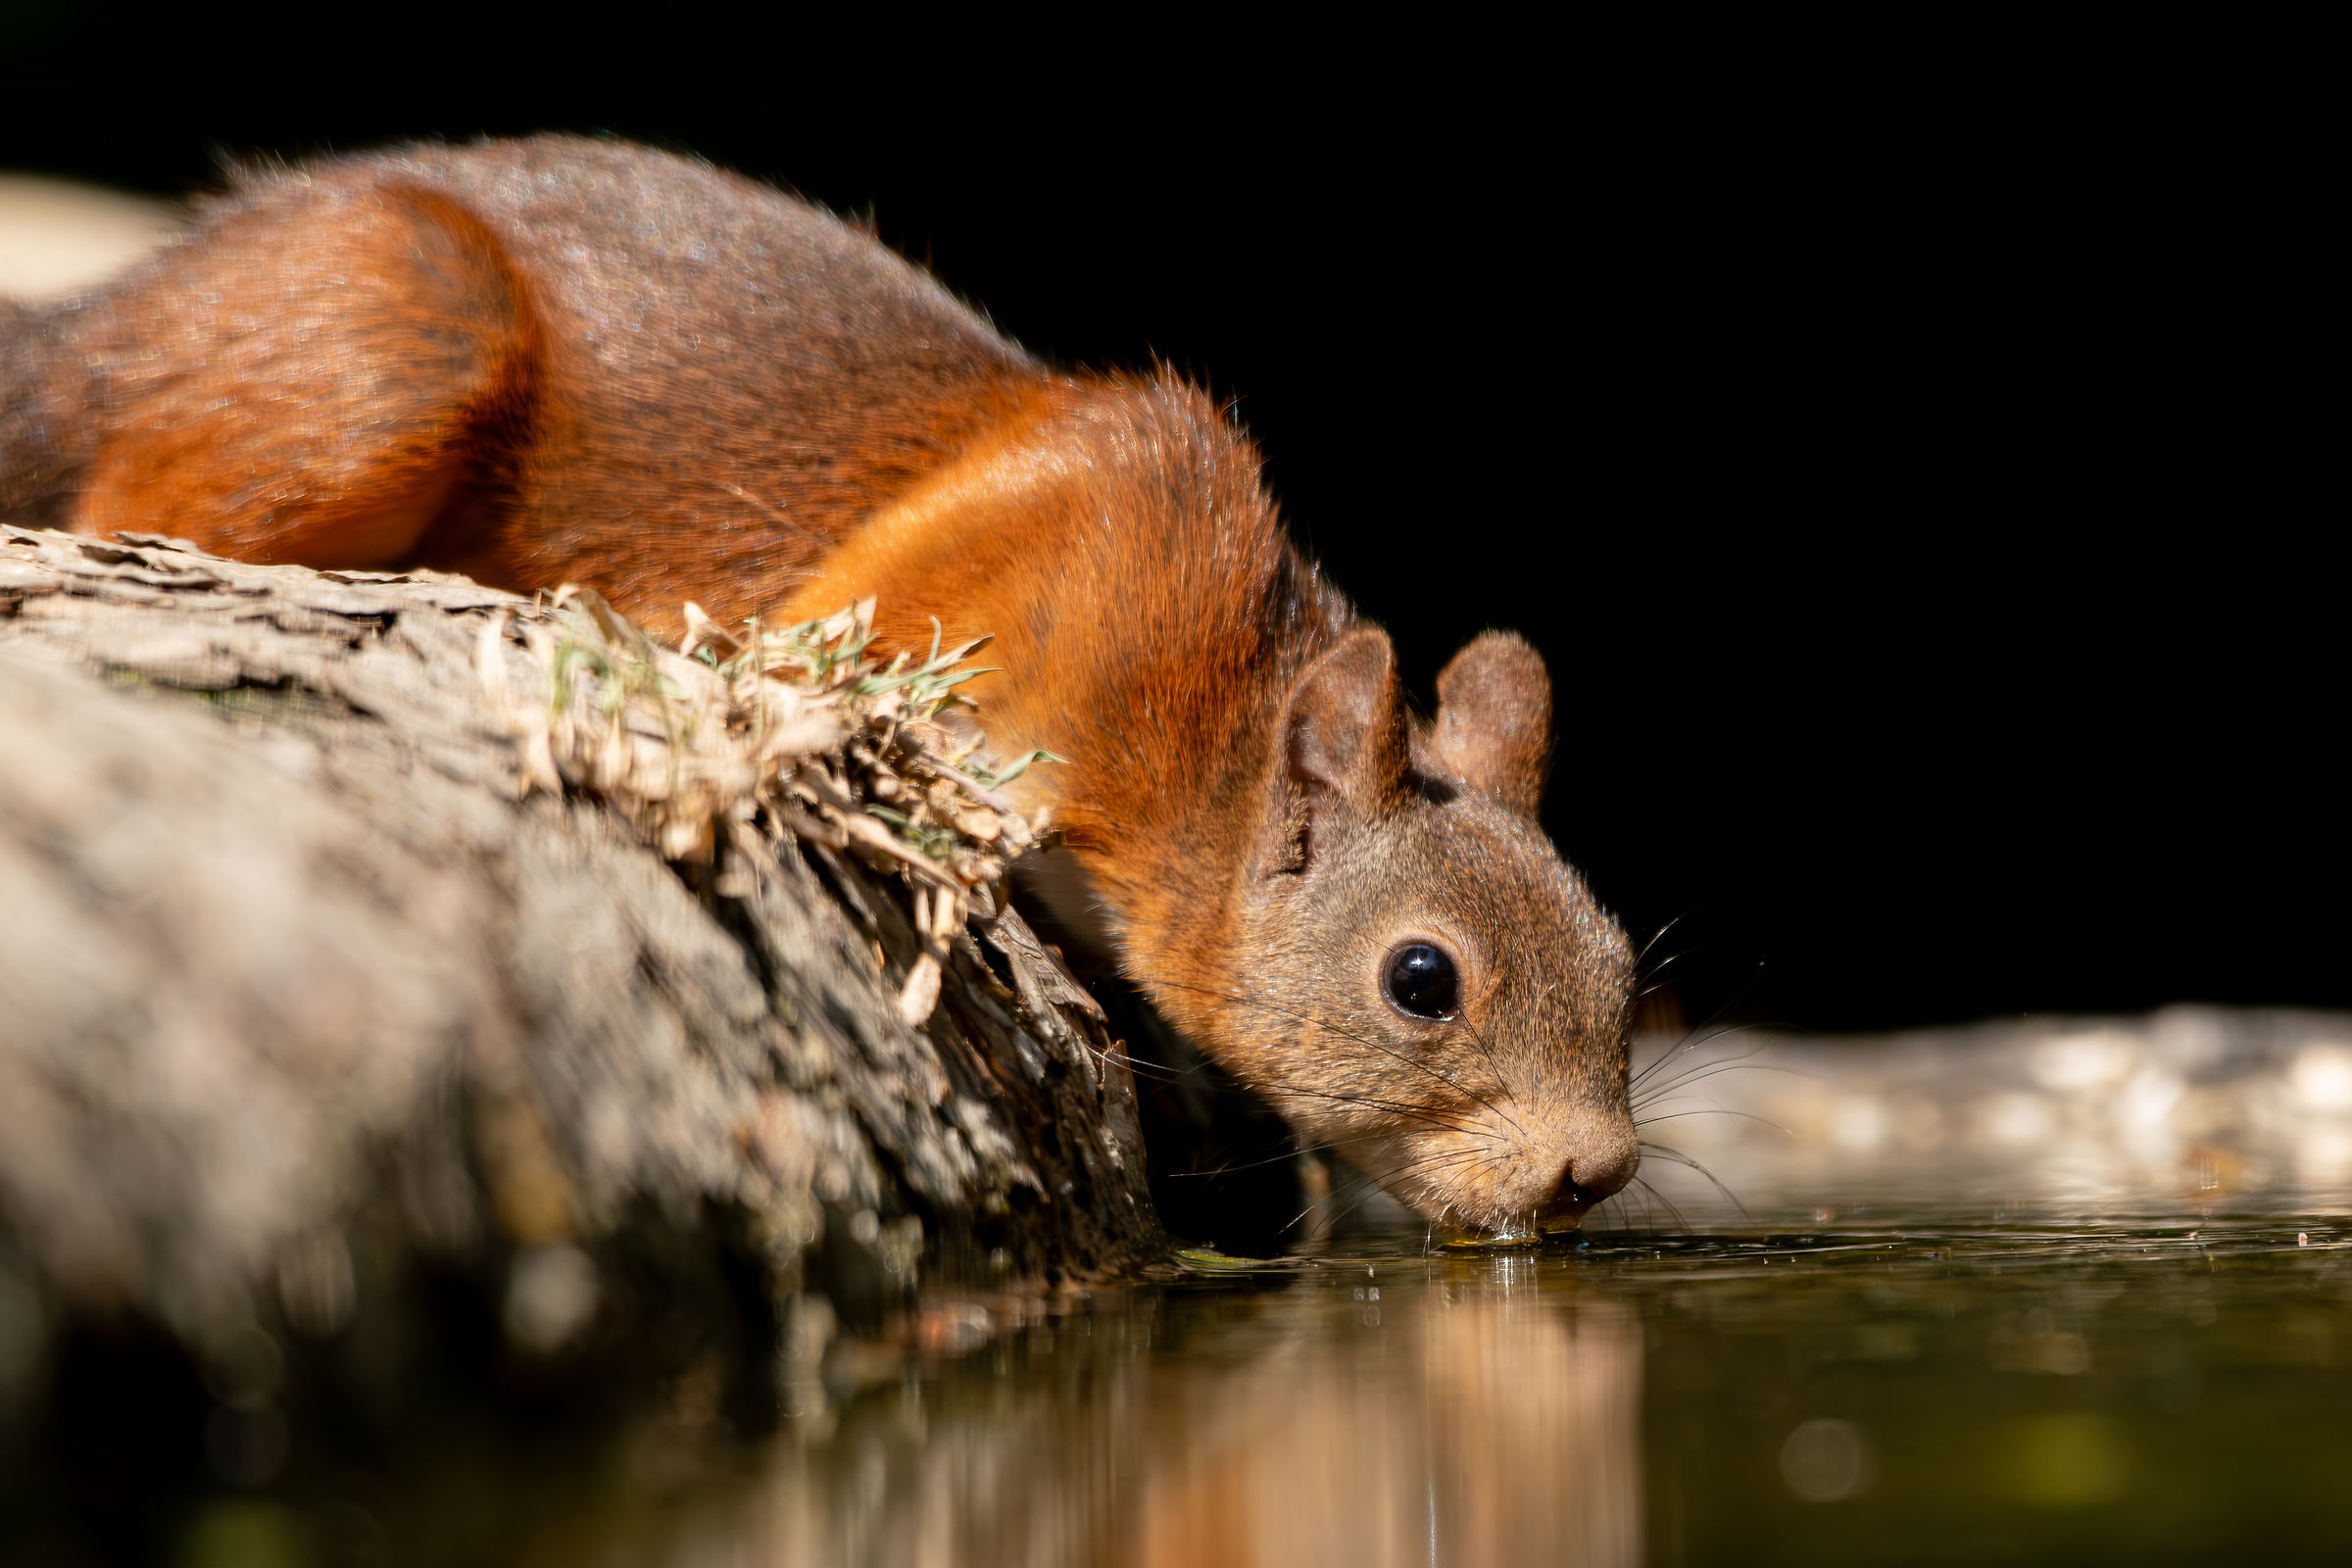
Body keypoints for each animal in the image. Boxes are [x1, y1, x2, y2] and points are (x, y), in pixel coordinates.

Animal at [0, 137, 1638, 1238]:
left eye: (1625, 965)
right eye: (1421, 980)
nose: (1599, 1172)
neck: (1208, 709)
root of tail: (119, 315)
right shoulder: (967, 575)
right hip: (390, 341)